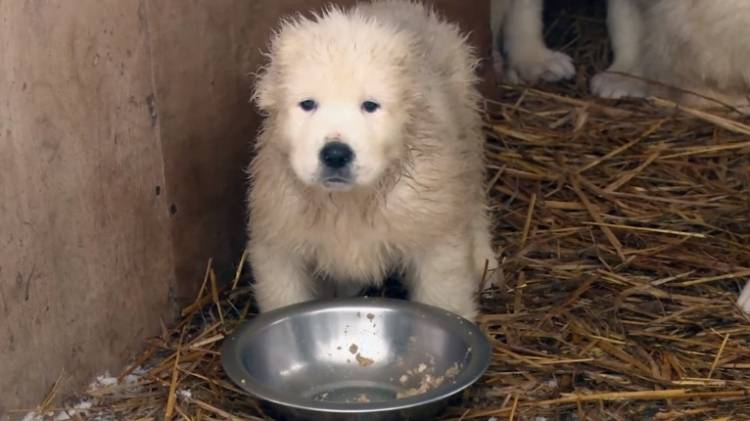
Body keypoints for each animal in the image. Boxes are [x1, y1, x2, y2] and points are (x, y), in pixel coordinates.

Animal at [245, 1, 500, 320]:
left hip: (467, 135)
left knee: (474, 202)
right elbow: (283, 297)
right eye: (307, 104)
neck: (348, 203)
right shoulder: (279, 246)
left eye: (370, 105)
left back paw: (484, 263)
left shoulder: (435, 238)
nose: (336, 154)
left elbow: (443, 297)